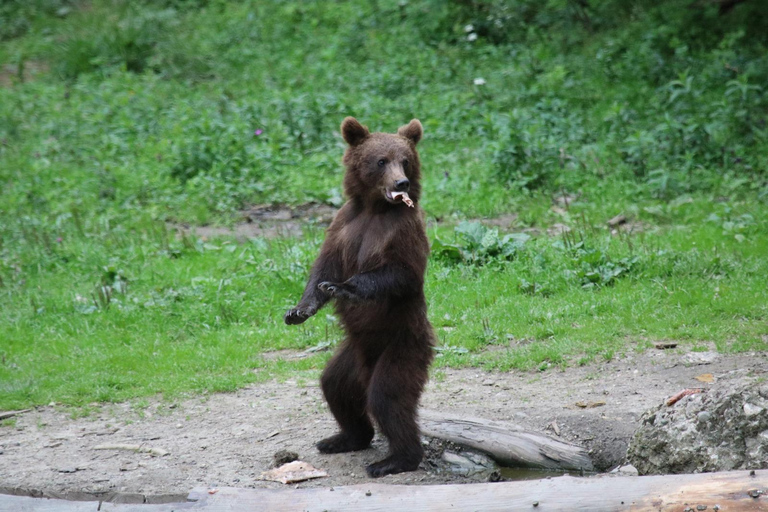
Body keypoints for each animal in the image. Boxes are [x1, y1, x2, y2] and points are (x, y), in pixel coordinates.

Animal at [284, 117, 435, 478]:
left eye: (405, 160)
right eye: (381, 161)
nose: (402, 182)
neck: (375, 207)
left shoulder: (403, 230)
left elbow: (399, 273)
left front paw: (342, 287)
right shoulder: (343, 225)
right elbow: (322, 267)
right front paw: (298, 310)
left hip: (402, 345)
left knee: (387, 398)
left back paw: (394, 459)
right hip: (351, 355)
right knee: (335, 387)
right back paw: (344, 438)